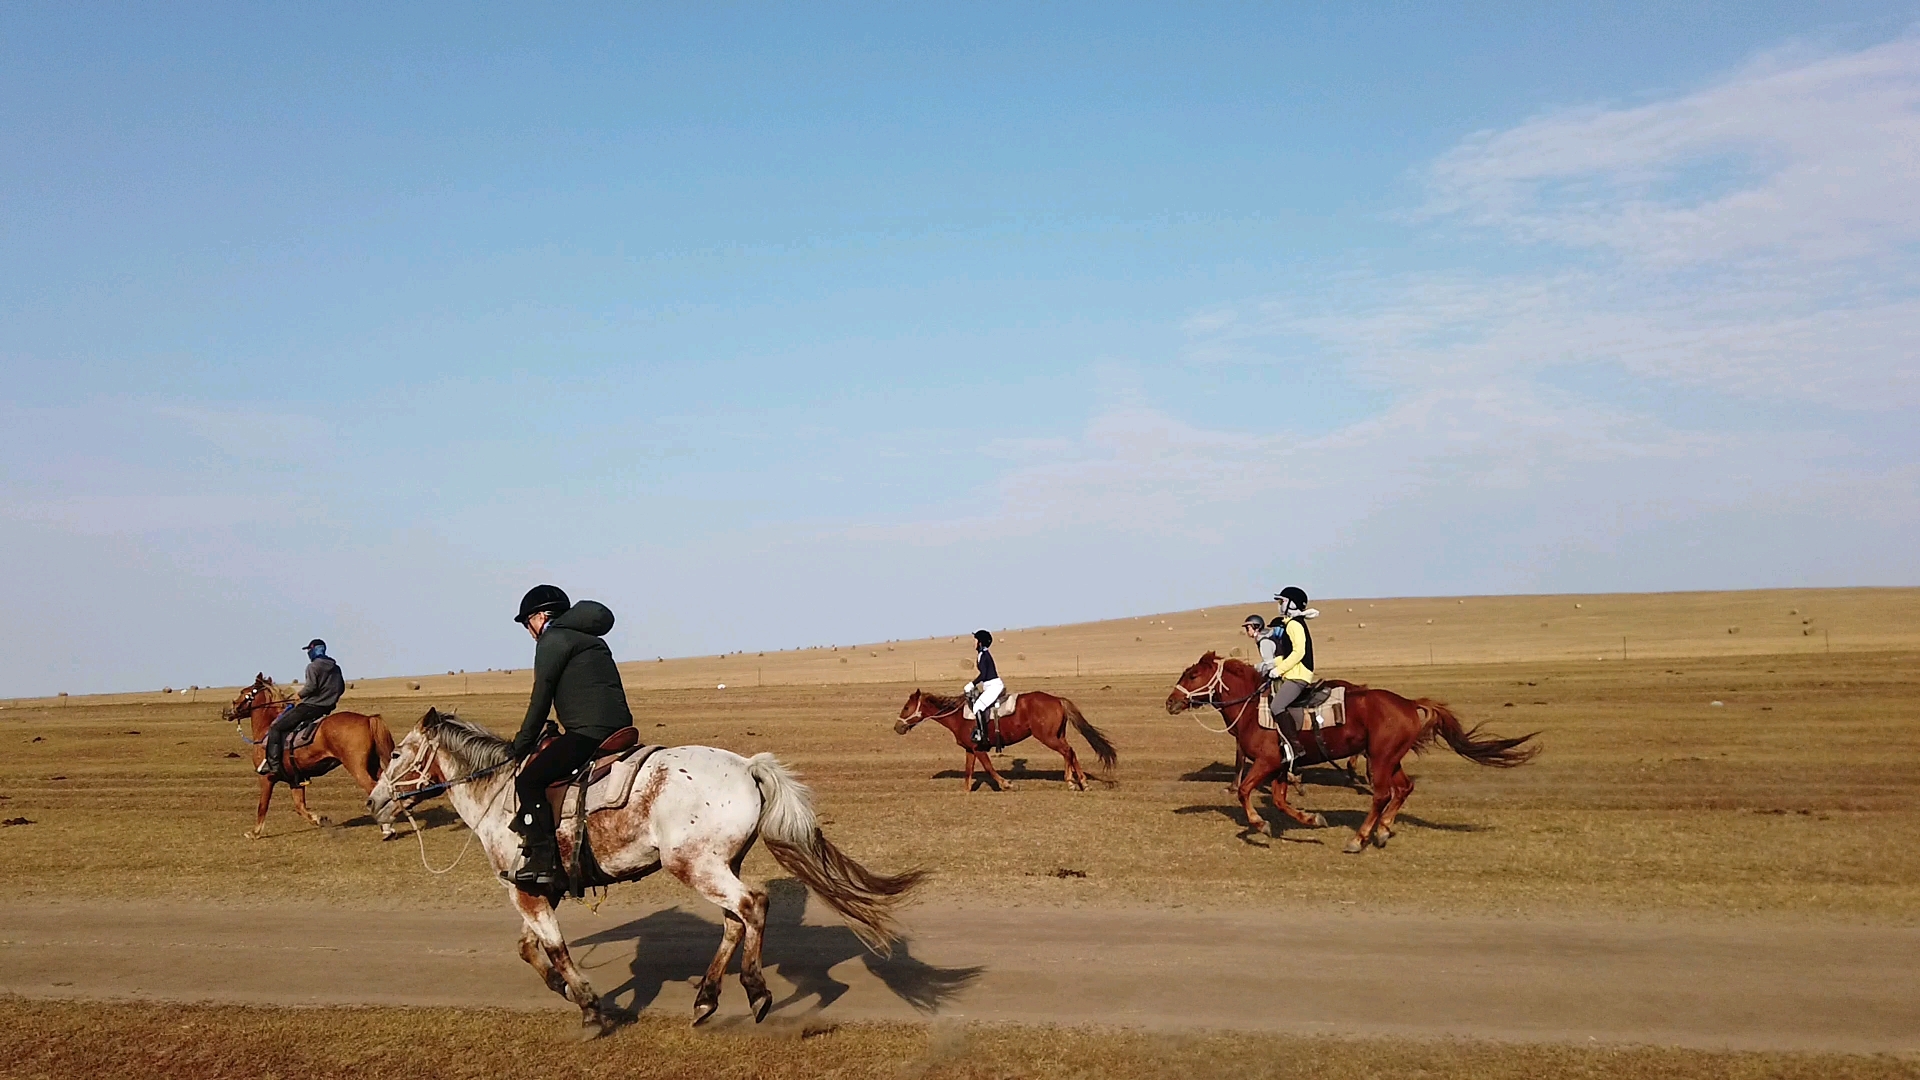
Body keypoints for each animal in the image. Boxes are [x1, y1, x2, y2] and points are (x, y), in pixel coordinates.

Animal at [224, 668, 397, 837]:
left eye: (243, 692)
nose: (227, 711)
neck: (266, 730)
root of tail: (368, 719)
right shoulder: (295, 780)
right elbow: (299, 806)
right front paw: (320, 819)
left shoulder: (266, 778)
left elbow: (262, 806)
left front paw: (254, 832)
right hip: (372, 764)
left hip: (356, 767)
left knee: (373, 789)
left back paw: (386, 828)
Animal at [368, 707, 929, 1037]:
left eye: (394, 752)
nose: (374, 801)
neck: (501, 791)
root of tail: (747, 765)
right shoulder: (541, 891)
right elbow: (529, 947)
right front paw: (563, 990)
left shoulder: (525, 892)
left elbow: (553, 948)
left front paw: (590, 1007)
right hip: (719, 864)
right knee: (734, 921)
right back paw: (705, 999)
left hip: (695, 865)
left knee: (753, 905)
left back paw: (755, 990)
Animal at [894, 687, 1121, 791]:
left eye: (906, 707)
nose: (897, 727)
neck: (958, 715)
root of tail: (1057, 699)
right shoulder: (970, 750)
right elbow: (968, 771)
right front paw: (966, 791)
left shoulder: (979, 748)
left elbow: (989, 768)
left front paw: (1007, 784)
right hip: (1057, 735)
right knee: (1070, 752)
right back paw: (1078, 781)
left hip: (1048, 737)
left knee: (1068, 751)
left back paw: (1075, 782)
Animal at [1159, 645, 1536, 849]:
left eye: (1192, 675)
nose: (1170, 702)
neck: (1254, 708)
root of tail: (1408, 703)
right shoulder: (1282, 766)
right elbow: (1280, 801)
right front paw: (1311, 819)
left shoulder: (1266, 762)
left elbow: (1245, 791)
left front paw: (1258, 824)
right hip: (1390, 758)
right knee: (1403, 789)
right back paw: (1382, 830)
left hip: (1380, 759)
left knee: (1382, 794)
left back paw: (1360, 837)